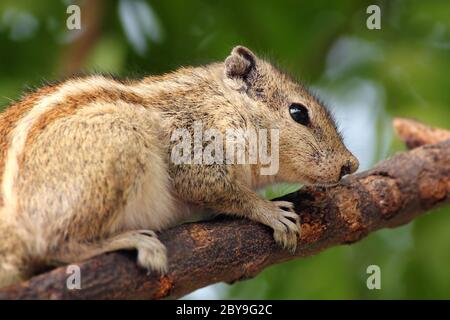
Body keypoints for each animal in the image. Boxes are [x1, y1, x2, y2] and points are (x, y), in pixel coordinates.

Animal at [0, 45, 358, 288]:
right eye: (298, 112)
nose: (350, 164)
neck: (219, 101)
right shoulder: (194, 143)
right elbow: (219, 189)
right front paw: (269, 210)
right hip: (122, 142)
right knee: (55, 246)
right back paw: (134, 241)